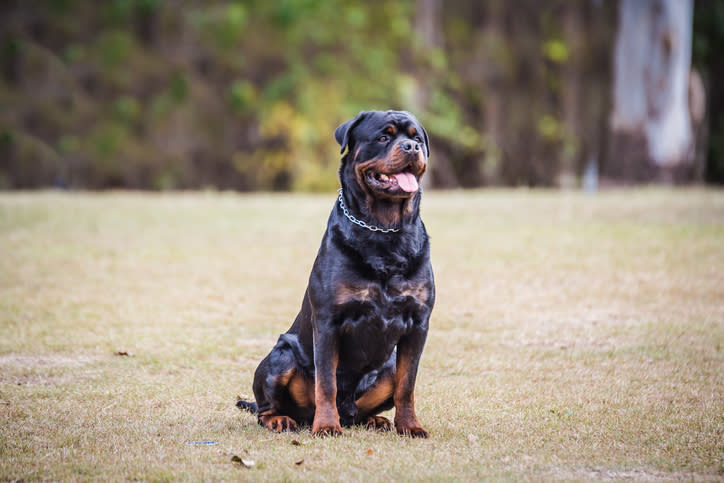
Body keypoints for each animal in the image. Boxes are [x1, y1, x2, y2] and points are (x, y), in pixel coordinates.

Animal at [238, 109, 432, 438]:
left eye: (416, 138)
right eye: (384, 137)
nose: (411, 148)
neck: (384, 229)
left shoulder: (418, 323)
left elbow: (407, 385)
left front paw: (410, 426)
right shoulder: (329, 321)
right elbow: (326, 382)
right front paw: (327, 425)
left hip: (387, 366)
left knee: (368, 405)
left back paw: (375, 420)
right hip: (282, 357)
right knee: (266, 408)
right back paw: (282, 419)